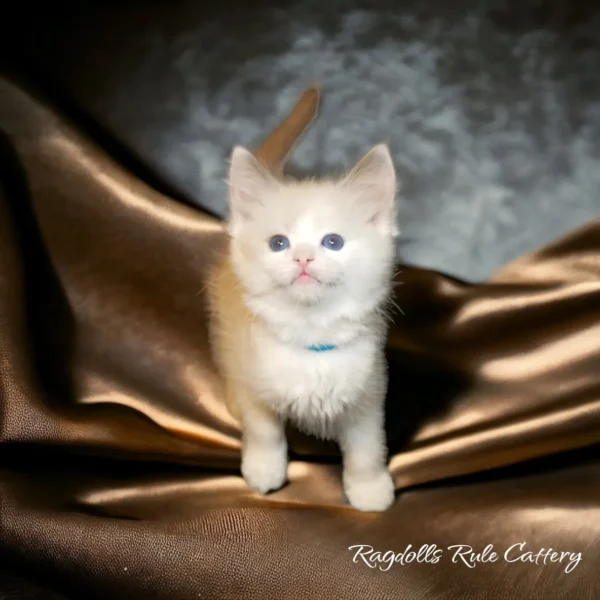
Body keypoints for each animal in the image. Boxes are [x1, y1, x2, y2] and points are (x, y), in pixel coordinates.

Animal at [209, 144, 400, 510]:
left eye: (333, 242)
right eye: (278, 243)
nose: (303, 258)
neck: (313, 339)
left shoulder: (370, 391)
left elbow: (368, 449)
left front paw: (369, 490)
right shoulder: (255, 378)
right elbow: (264, 431)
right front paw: (264, 470)